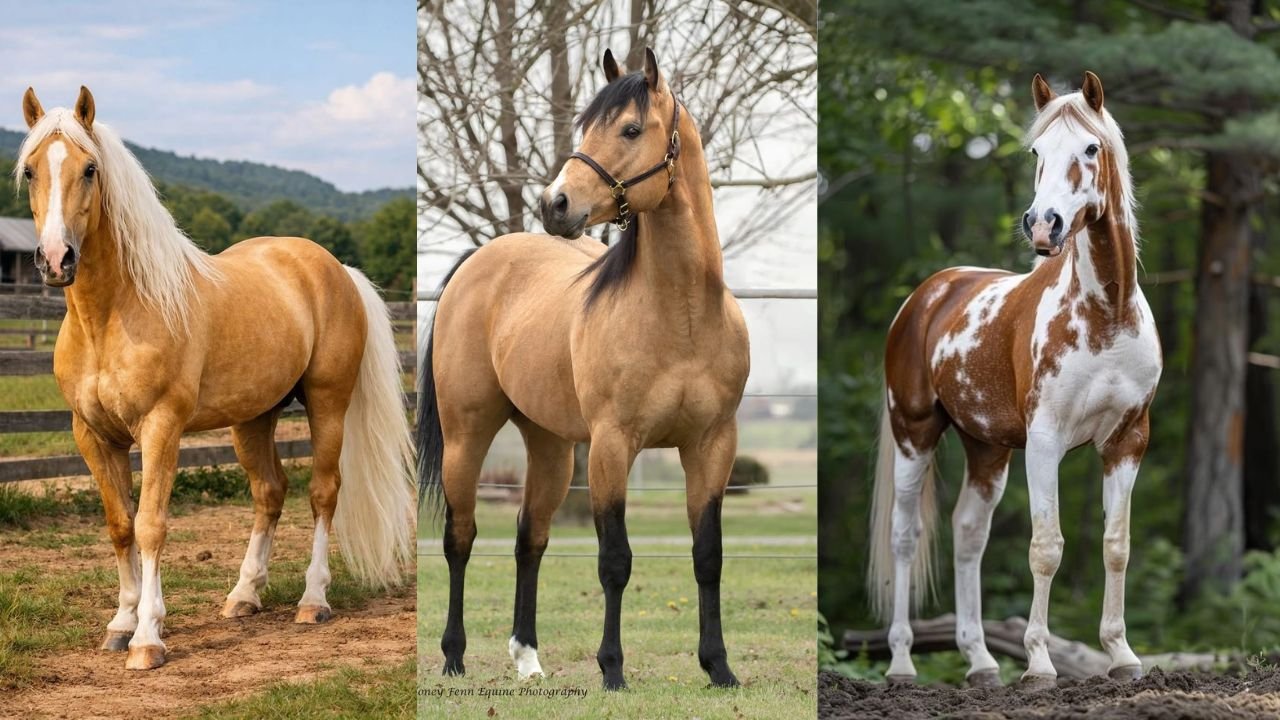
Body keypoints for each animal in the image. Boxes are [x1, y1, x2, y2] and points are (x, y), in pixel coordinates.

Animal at [16, 87, 414, 670]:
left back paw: (313, 600)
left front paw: (147, 638)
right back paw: (243, 596)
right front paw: (121, 623)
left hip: (328, 404)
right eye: (29, 170)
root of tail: (336, 268)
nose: (55, 258)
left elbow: (151, 524)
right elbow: (119, 526)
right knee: (269, 492)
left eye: (90, 168)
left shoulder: (161, 427)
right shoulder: (91, 435)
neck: (114, 314)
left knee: (323, 493)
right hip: (252, 419)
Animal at [419, 48, 750, 690]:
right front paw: (613, 669)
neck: (681, 317)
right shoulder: (611, 445)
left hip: (549, 445)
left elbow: (709, 556)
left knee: (530, 538)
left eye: (630, 129)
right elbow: (614, 559)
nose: (556, 204)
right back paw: (452, 656)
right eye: (585, 126)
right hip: (467, 436)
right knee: (460, 537)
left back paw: (528, 658)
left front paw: (719, 666)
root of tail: (479, 260)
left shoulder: (712, 445)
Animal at [867, 72, 1162, 689]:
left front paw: (1122, 656)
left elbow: (1116, 545)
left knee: (967, 533)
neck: (1107, 315)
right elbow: (1046, 546)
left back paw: (980, 661)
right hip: (914, 434)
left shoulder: (1128, 440)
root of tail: (929, 294)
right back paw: (902, 663)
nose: (1043, 224)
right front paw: (1039, 663)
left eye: (1091, 148)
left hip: (987, 448)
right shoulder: (1046, 439)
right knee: (905, 536)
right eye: (1035, 152)